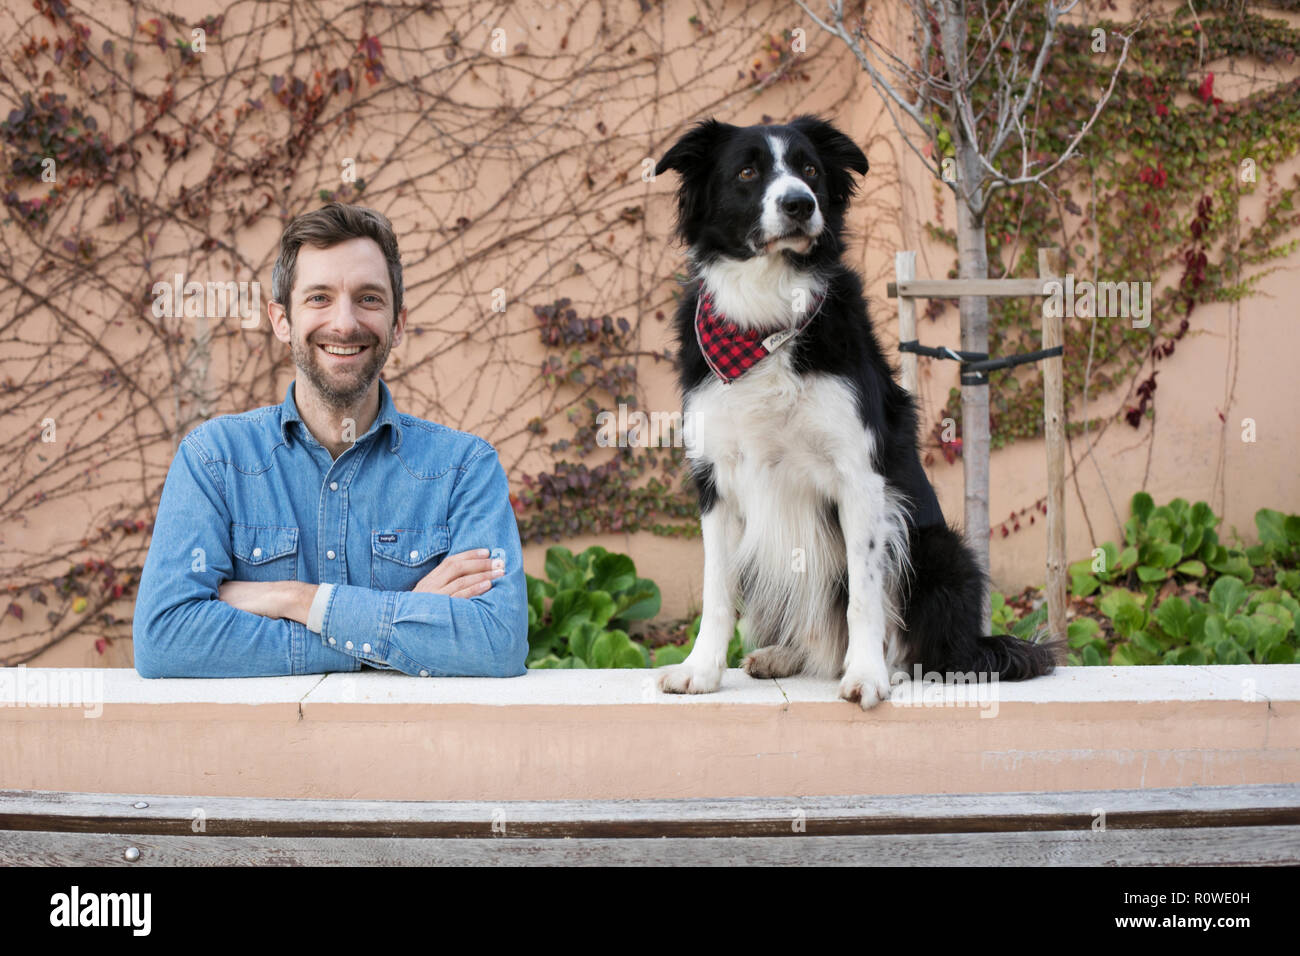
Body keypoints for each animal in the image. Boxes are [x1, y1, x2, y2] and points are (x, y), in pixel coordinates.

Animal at [655, 113, 1060, 712]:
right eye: (747, 171)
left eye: (810, 170)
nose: (799, 204)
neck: (768, 318)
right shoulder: (716, 480)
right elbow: (717, 588)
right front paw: (701, 670)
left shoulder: (861, 477)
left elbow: (864, 593)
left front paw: (867, 675)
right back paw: (787, 655)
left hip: (942, 549)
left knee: (923, 646)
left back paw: (895, 667)